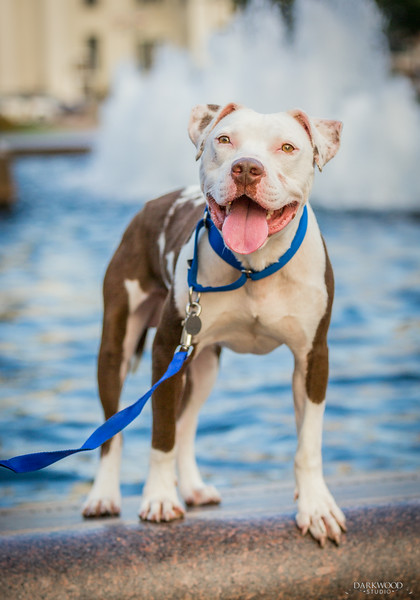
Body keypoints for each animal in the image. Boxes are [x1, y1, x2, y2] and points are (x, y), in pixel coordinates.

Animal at [83, 104, 348, 548]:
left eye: (287, 147)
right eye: (224, 140)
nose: (247, 168)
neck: (254, 268)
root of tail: (154, 202)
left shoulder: (313, 357)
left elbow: (308, 444)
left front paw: (316, 507)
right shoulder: (166, 350)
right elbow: (161, 434)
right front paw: (158, 499)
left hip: (203, 363)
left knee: (187, 421)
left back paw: (193, 488)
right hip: (118, 348)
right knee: (113, 430)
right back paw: (104, 495)